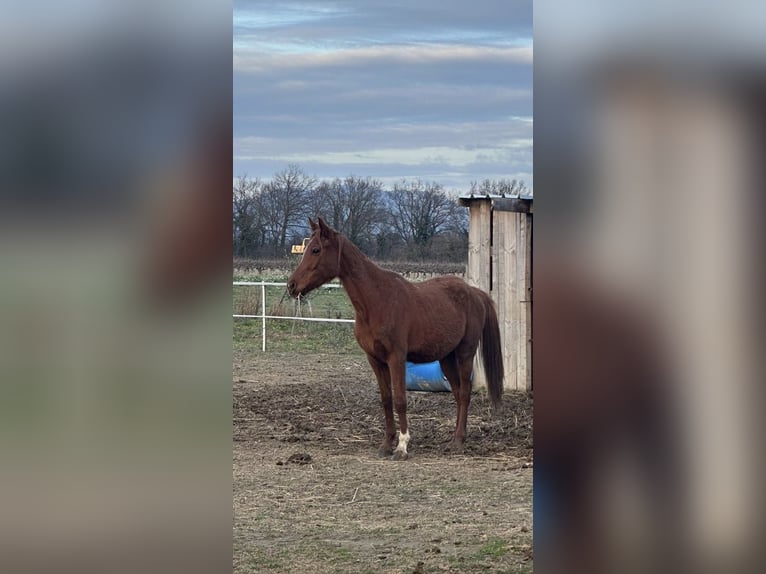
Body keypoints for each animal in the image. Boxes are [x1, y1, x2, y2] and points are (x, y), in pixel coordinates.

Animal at [287, 217, 504, 460]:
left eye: (315, 250)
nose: (291, 285)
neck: (377, 301)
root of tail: (475, 293)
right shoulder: (374, 359)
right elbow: (386, 400)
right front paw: (386, 444)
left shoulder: (396, 358)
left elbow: (400, 400)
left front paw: (402, 446)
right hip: (446, 357)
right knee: (457, 392)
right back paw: (456, 437)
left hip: (465, 353)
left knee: (465, 392)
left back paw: (458, 441)